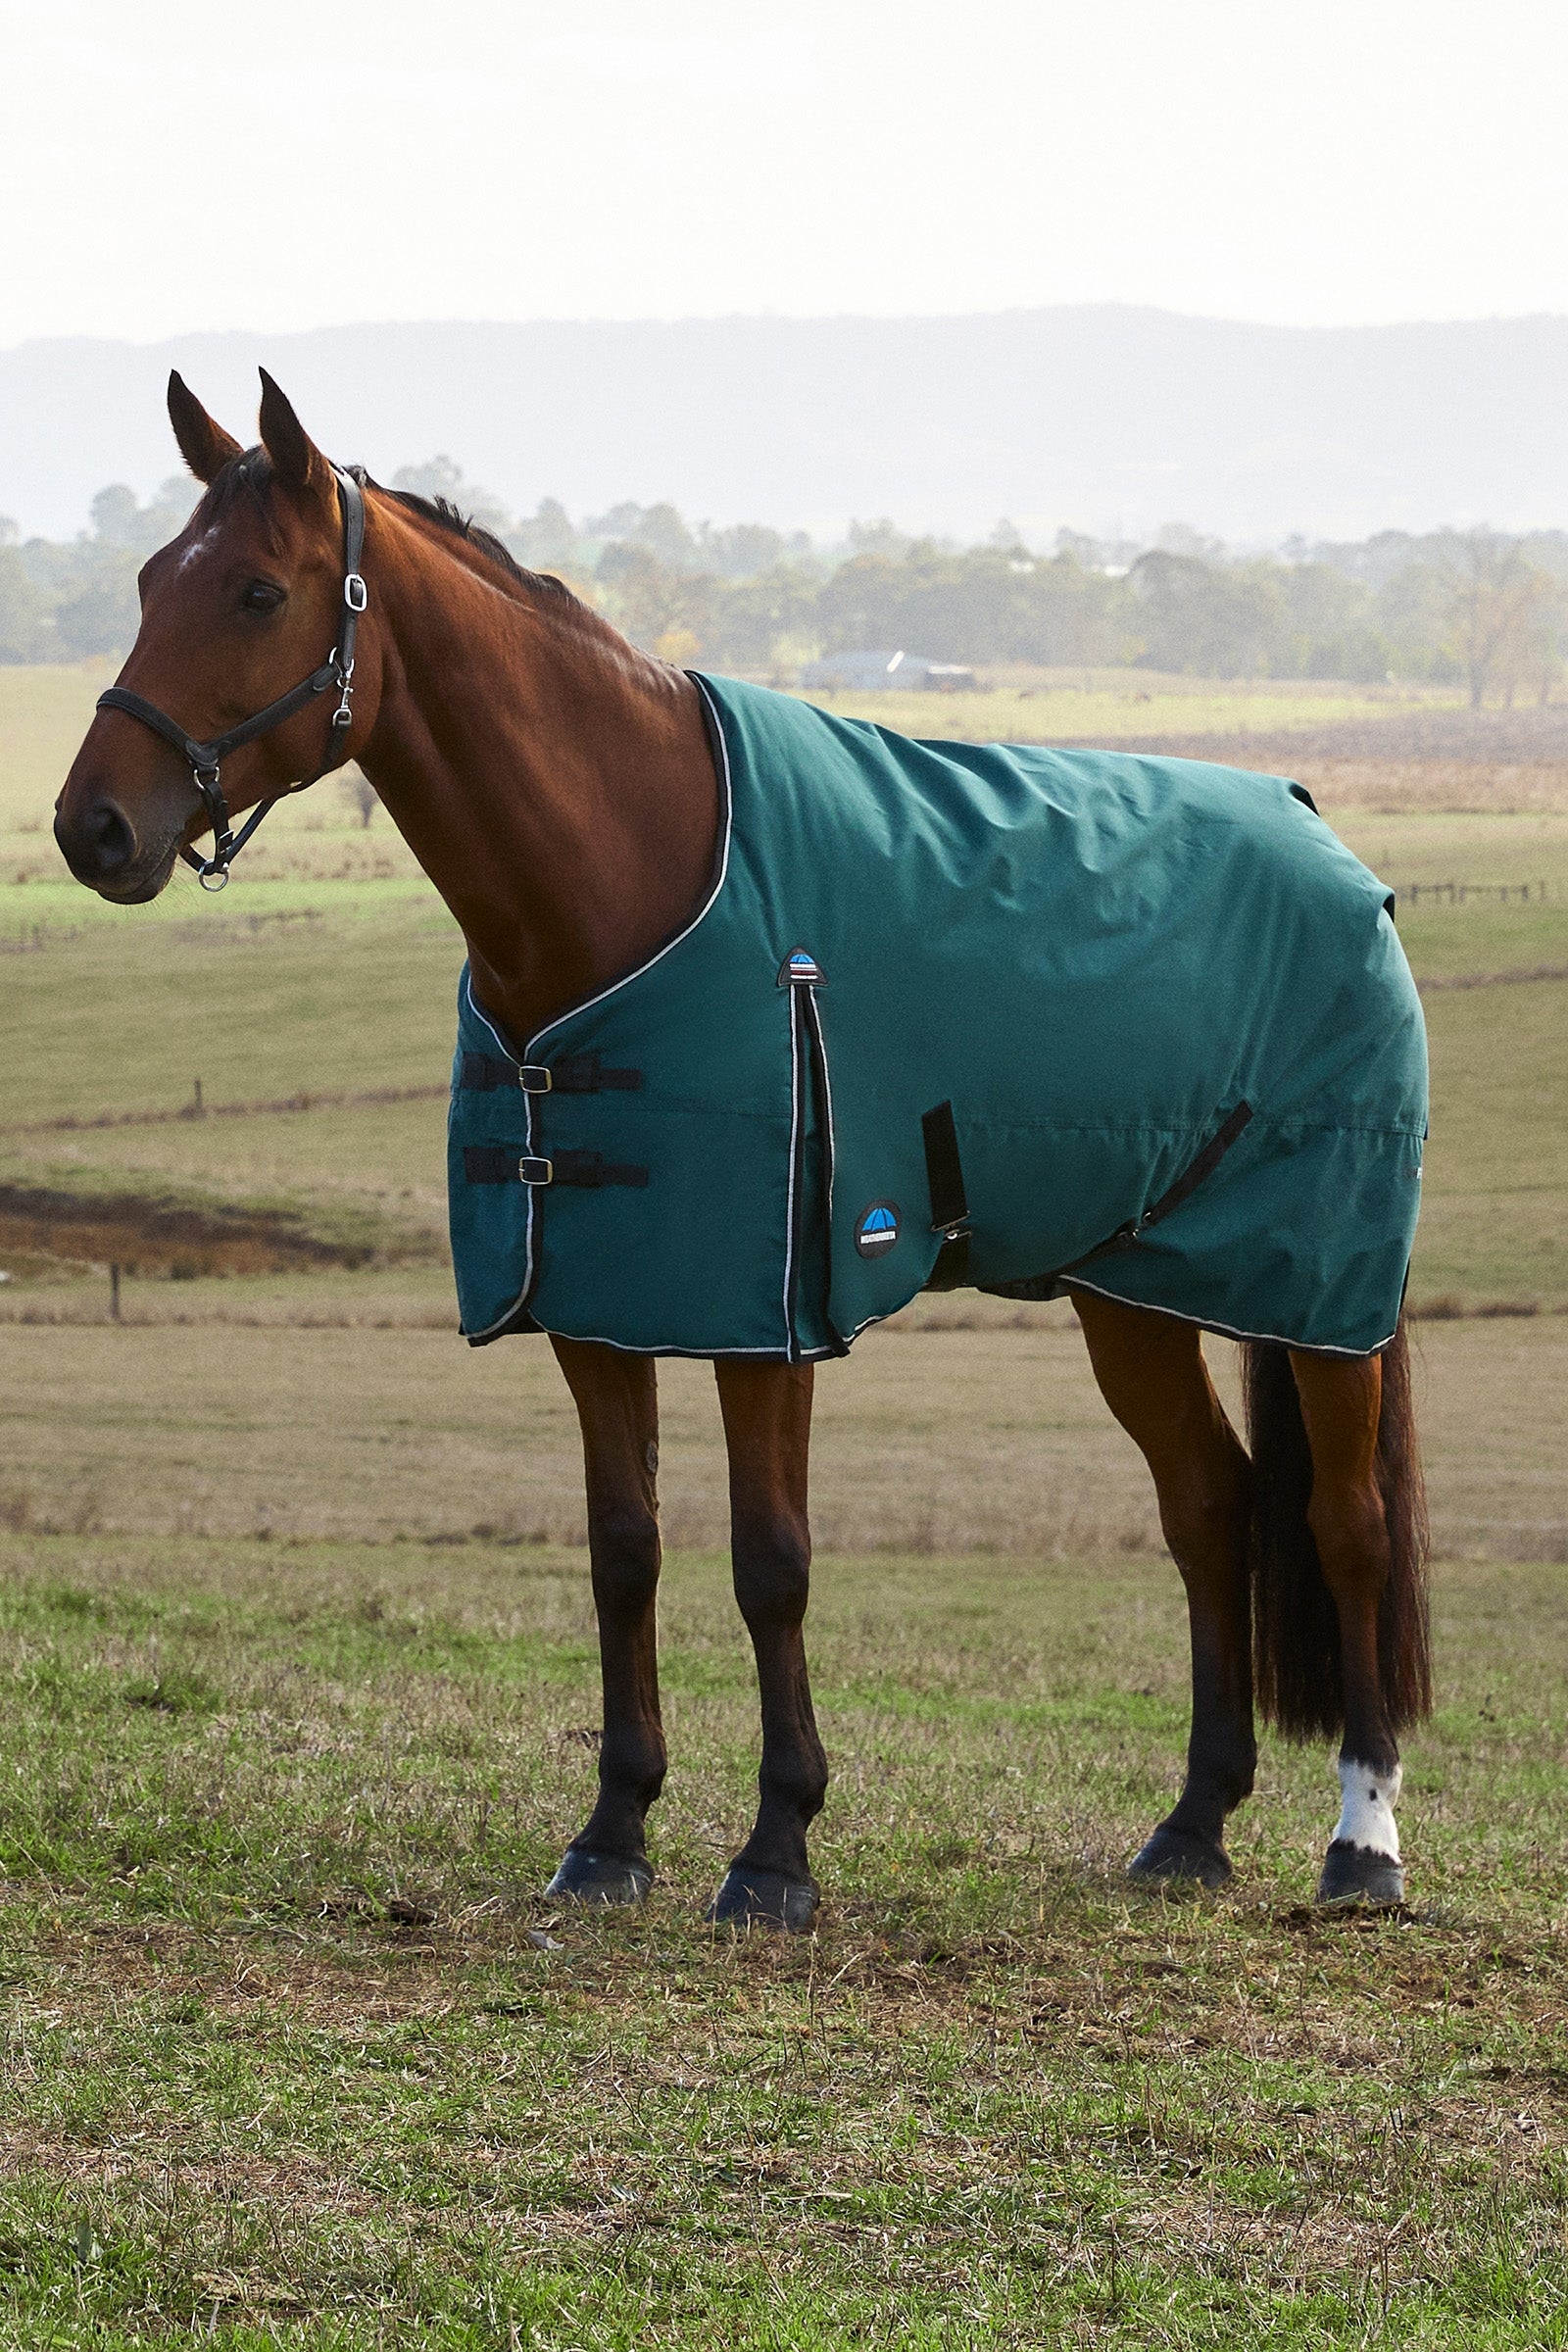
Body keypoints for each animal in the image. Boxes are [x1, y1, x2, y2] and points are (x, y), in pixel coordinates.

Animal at [53, 372, 1431, 1931]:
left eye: (256, 590)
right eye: (149, 580)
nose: (92, 827)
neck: (631, 876)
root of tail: (1323, 837)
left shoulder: (770, 1310)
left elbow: (771, 1564)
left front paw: (775, 1851)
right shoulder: (597, 1300)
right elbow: (624, 1552)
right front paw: (612, 1833)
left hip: (1321, 1299)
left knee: (1345, 1524)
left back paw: (1361, 1844)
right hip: (1127, 1289)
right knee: (1210, 1506)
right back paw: (1191, 1826)